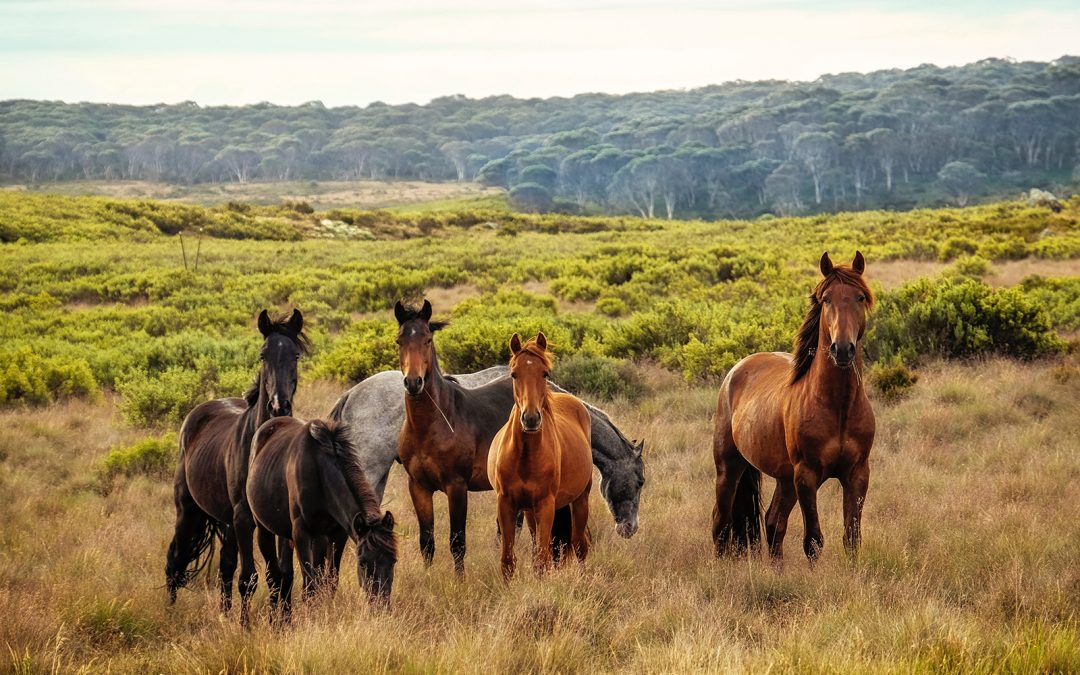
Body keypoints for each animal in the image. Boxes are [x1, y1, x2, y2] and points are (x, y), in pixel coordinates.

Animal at [247, 416, 399, 617]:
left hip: (304, 536)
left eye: (393, 561)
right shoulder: (301, 533)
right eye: (362, 563)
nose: (381, 607)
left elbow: (330, 581)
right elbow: (309, 586)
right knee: (273, 576)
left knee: (289, 574)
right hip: (264, 530)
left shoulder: (338, 534)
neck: (319, 472)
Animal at [488, 332, 591, 578]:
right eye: (514, 374)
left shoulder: (545, 505)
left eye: (545, 373)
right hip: (529, 512)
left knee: (580, 545)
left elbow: (542, 560)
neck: (525, 456)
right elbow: (508, 560)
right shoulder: (506, 504)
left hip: (580, 500)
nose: (531, 418)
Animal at [708, 250, 876, 561]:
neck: (838, 407)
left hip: (784, 479)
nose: (842, 349)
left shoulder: (857, 474)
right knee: (720, 523)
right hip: (729, 467)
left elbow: (852, 538)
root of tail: (736, 370)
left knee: (773, 523)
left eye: (860, 297)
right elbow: (813, 541)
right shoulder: (807, 477)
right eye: (826, 299)